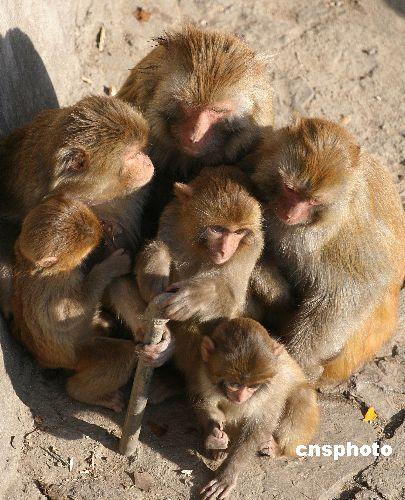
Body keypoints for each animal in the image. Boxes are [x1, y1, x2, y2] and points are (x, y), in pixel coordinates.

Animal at [170, 318, 318, 498]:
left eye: (252, 386)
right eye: (234, 384)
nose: (241, 397)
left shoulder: (271, 388)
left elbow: (260, 424)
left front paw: (227, 474)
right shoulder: (201, 371)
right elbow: (202, 400)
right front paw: (214, 433)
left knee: (302, 394)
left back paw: (276, 448)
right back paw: (219, 448)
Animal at [249, 117, 404, 382]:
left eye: (313, 201)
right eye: (290, 189)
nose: (290, 213)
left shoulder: (344, 234)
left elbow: (355, 288)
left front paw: (298, 360)